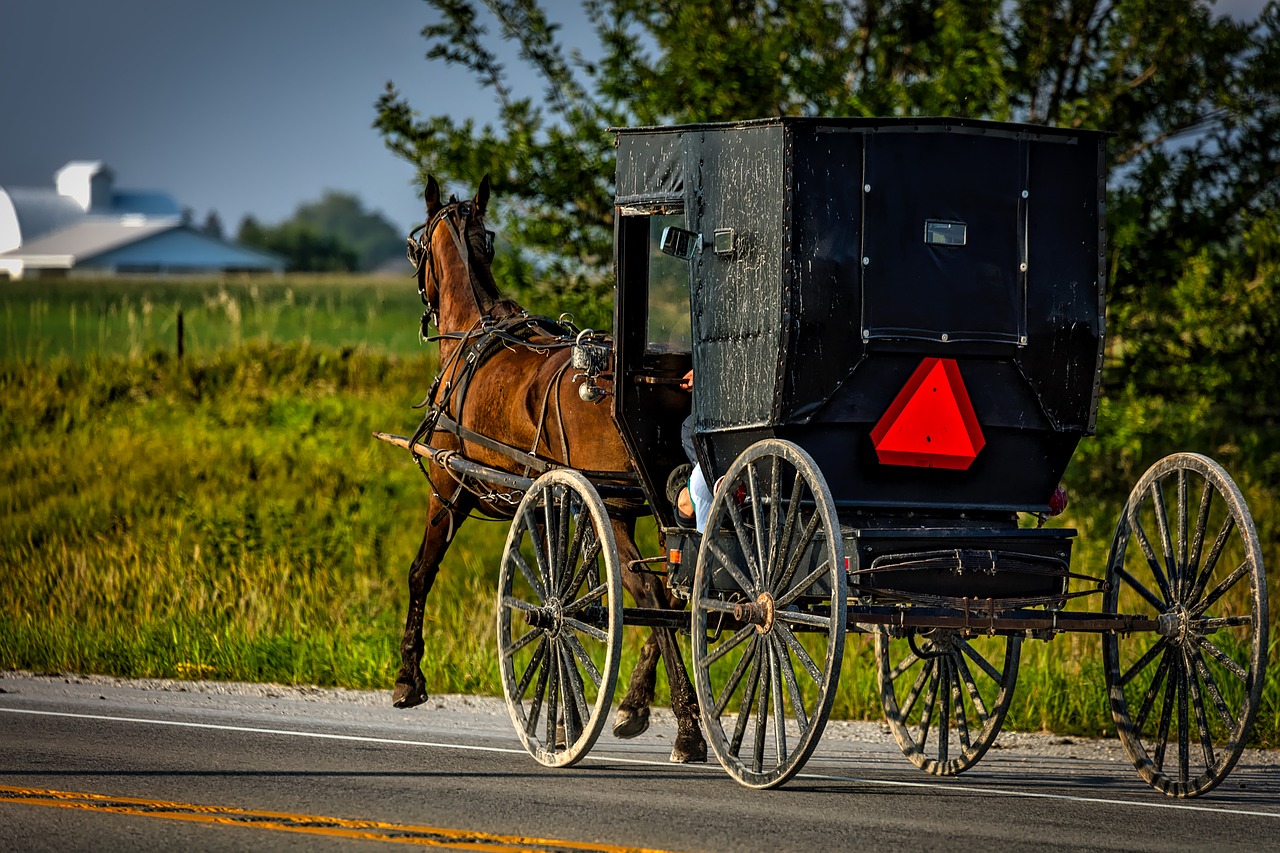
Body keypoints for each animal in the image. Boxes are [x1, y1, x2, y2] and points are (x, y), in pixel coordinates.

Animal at [391, 174, 711, 763]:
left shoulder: (448, 488)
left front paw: (408, 678)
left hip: (615, 507)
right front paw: (567, 716)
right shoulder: (548, 503)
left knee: (654, 594)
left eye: (414, 246)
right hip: (648, 505)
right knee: (681, 588)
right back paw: (637, 706)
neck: (474, 332)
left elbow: (422, 571)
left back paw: (685, 726)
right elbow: (562, 588)